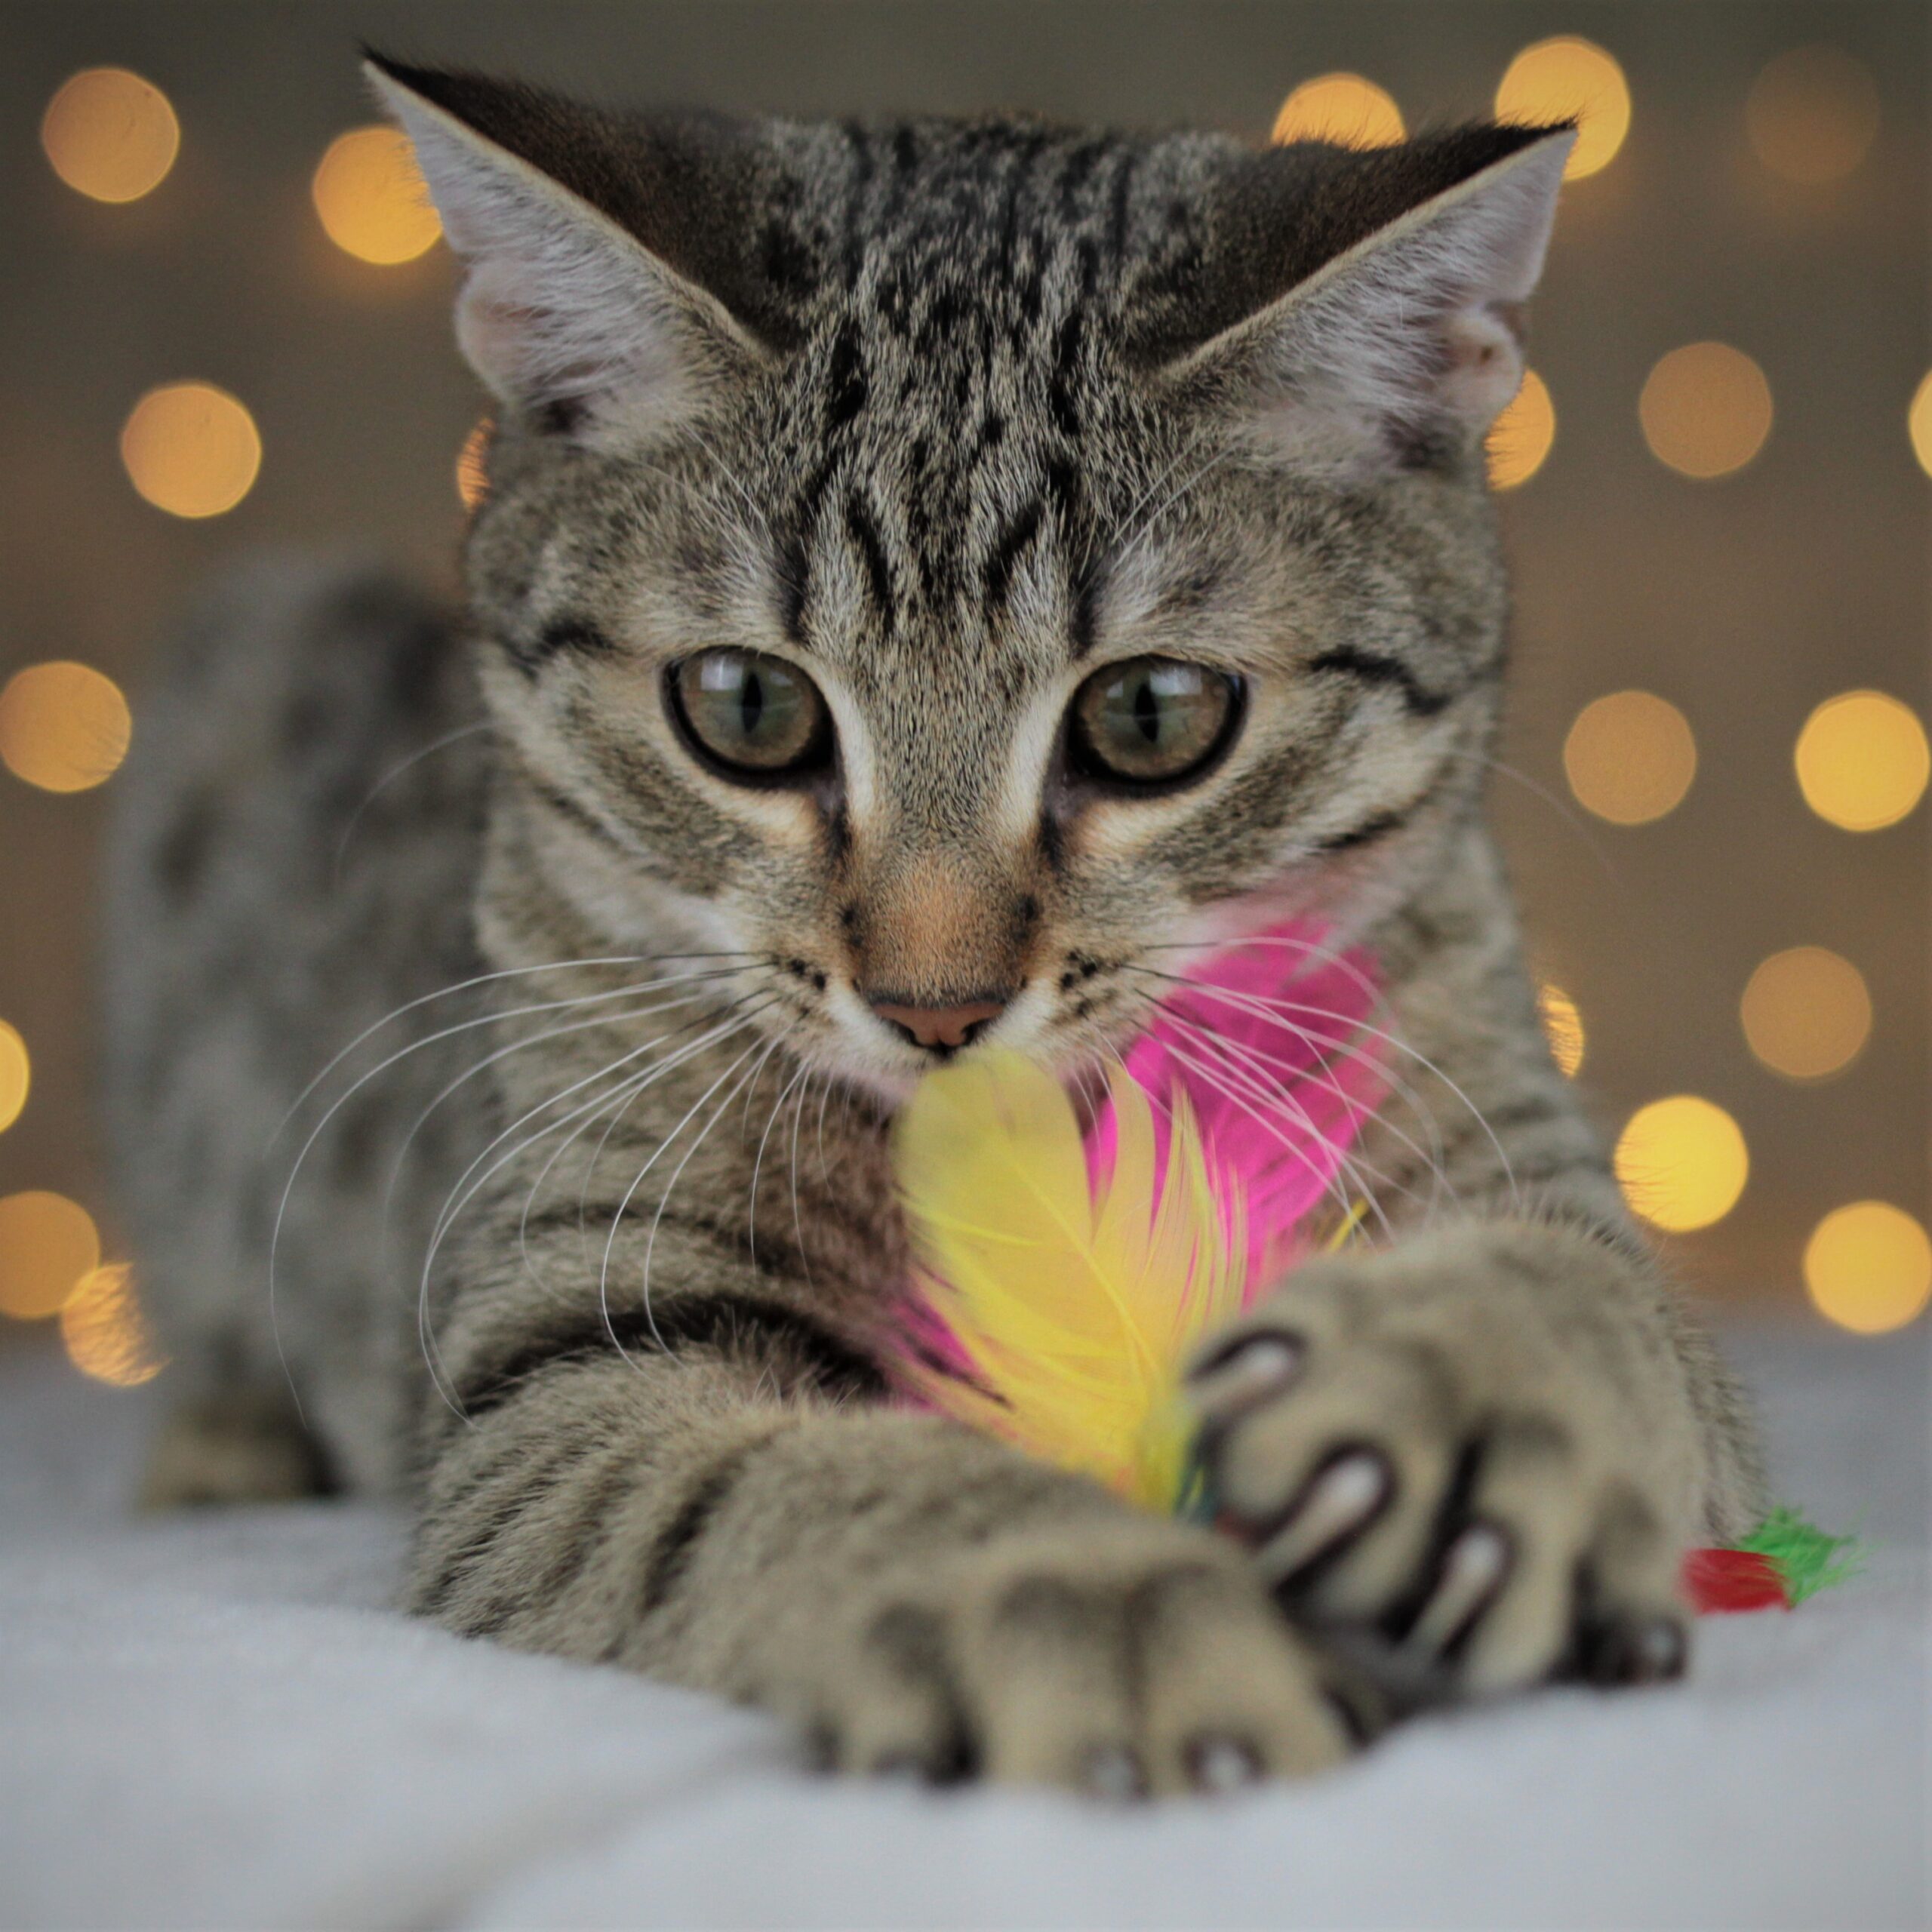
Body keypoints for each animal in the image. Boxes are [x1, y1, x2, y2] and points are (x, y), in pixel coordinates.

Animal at [103, 52, 1765, 1796]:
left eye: (1153, 716)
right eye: (745, 707)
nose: (935, 1003)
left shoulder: (1502, 1116)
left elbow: (1596, 1289)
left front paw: (1461, 1386)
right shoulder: (561, 1345)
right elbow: (775, 1473)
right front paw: (1085, 1589)